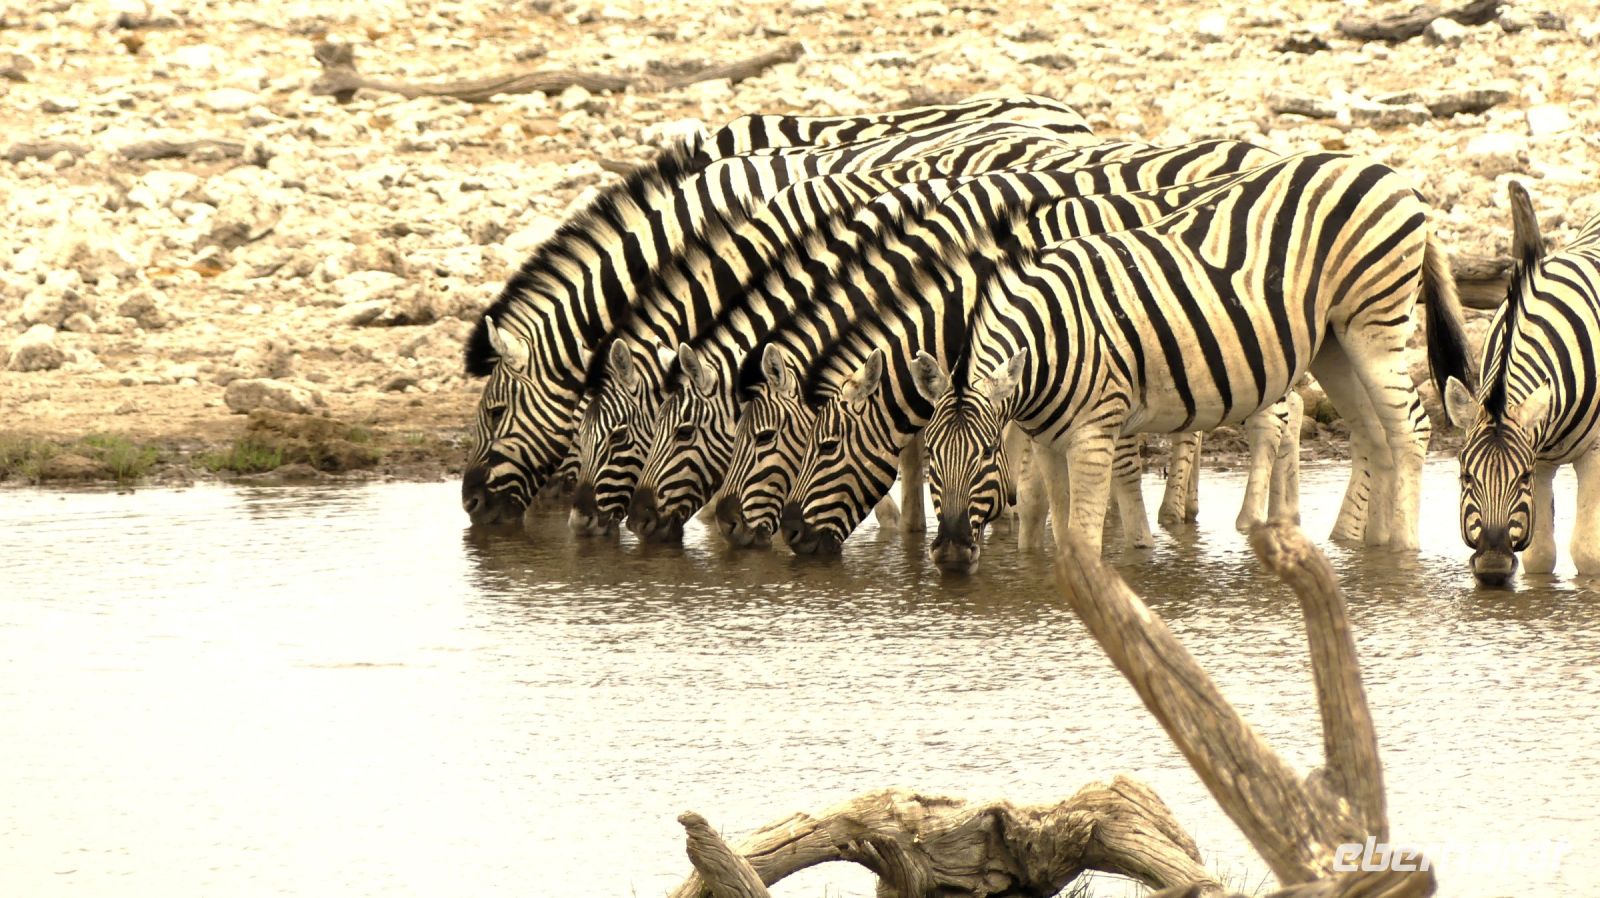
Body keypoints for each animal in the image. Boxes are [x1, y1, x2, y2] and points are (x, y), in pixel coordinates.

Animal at [822, 151, 1472, 569]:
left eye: (983, 456)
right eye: (931, 456)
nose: (953, 553)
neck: (1046, 342)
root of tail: (1396, 178)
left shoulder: (1092, 430)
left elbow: (1084, 532)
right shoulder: (1046, 438)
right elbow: (1042, 521)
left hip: (1374, 322)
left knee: (1409, 429)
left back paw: (1404, 553)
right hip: (1334, 339)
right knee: (1374, 434)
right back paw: (1361, 548)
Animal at [1443, 182, 1600, 585]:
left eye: (1523, 477)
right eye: (1466, 476)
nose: (1493, 569)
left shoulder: (1590, 452)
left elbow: (1588, 552)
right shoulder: (1539, 452)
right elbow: (1540, 554)